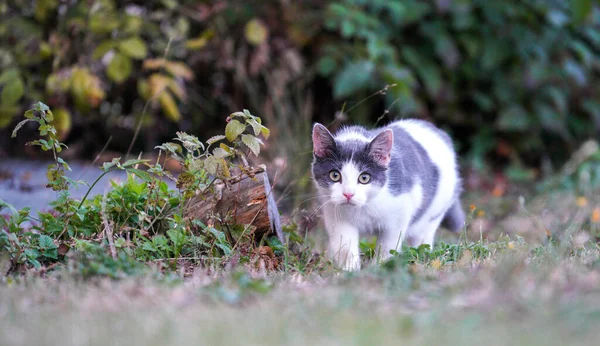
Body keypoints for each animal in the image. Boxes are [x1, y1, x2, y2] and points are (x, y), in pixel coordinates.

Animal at [312, 119, 466, 270]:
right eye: (334, 175)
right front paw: (348, 269)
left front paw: (379, 266)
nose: (348, 194)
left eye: (364, 178)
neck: (363, 207)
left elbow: (389, 243)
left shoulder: (400, 212)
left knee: (423, 236)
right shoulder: (335, 214)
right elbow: (345, 244)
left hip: (435, 211)